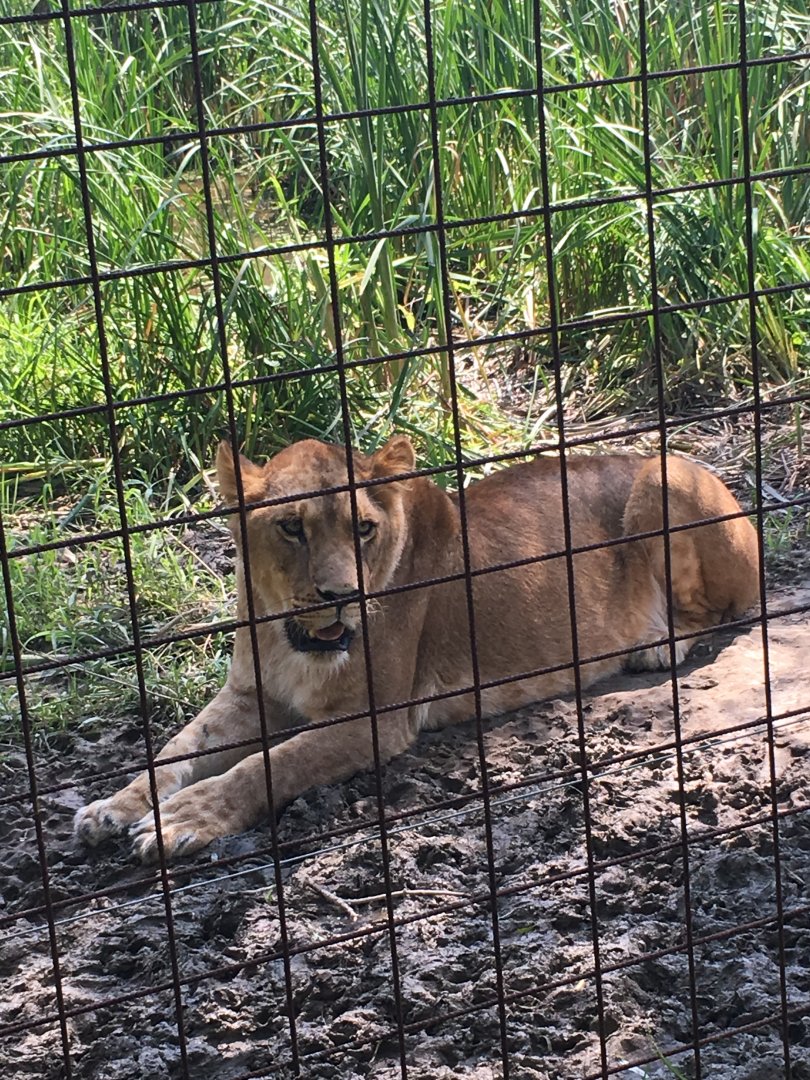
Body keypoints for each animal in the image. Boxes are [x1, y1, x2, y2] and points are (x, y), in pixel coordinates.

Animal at [75, 436, 760, 861]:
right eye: (291, 527)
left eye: (364, 528)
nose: (340, 596)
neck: (286, 636)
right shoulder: (248, 697)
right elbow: (175, 750)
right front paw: (112, 808)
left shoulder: (372, 721)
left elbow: (267, 765)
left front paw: (182, 820)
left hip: (666, 475)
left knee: (724, 611)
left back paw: (657, 645)